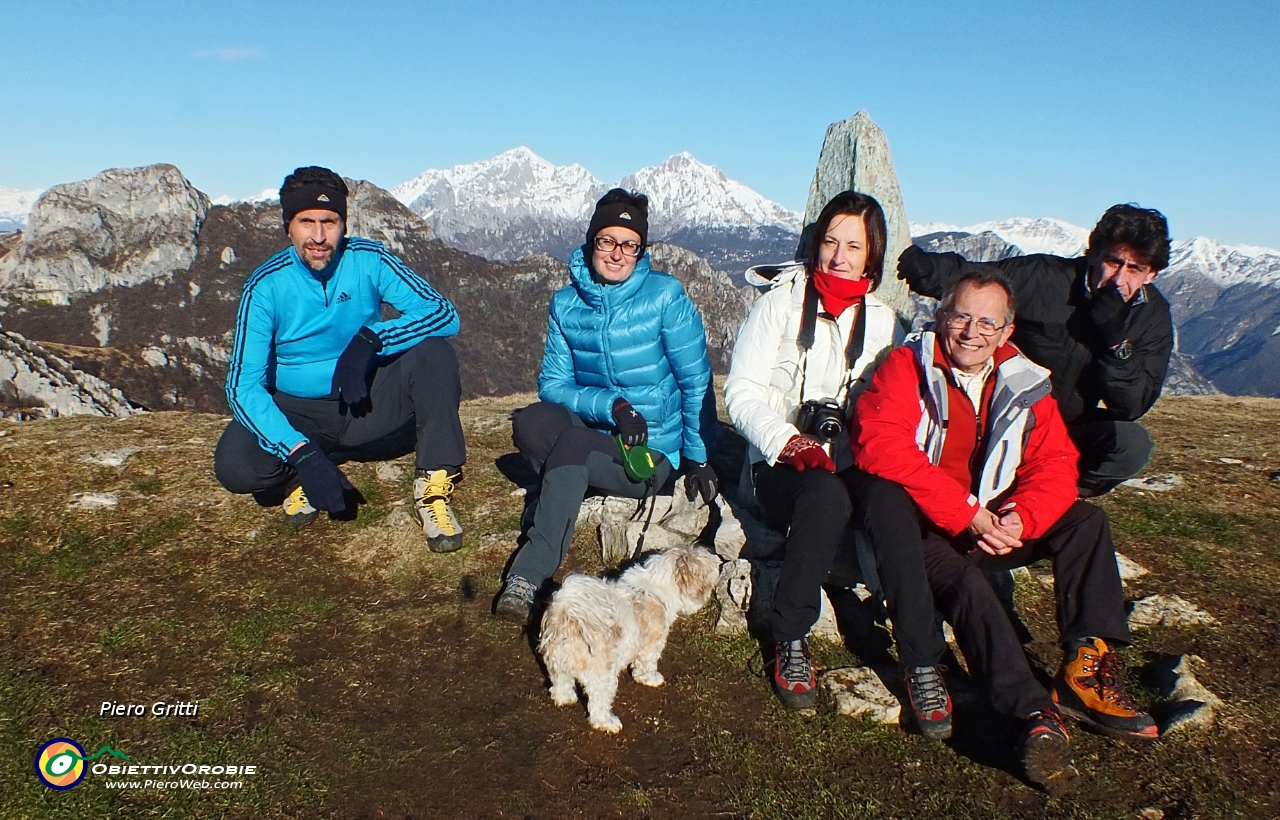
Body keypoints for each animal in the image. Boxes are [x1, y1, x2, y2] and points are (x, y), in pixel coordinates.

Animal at [537, 542, 721, 726]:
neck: (654, 588)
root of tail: (567, 617)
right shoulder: (651, 645)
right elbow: (647, 664)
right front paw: (649, 678)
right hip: (602, 675)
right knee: (598, 703)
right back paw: (607, 722)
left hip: (557, 665)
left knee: (561, 683)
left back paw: (564, 698)